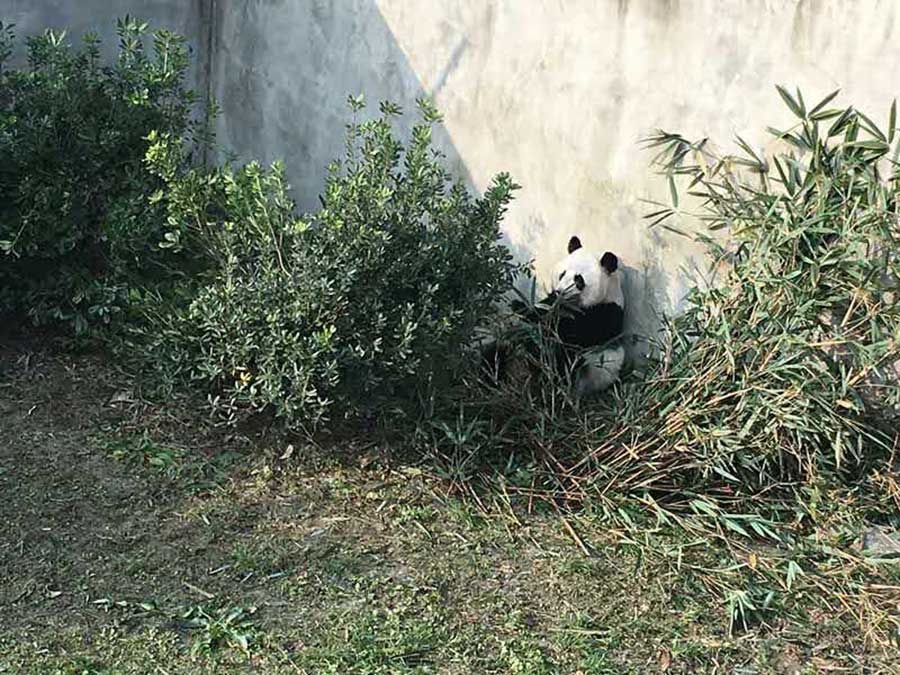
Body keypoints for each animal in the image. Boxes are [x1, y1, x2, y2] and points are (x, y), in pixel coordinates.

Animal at [482, 235, 627, 397]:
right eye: (562, 274)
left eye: (578, 280)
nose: (560, 292)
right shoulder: (553, 302)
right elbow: (543, 311)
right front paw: (520, 306)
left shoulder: (604, 313)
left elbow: (565, 331)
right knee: (497, 352)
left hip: (590, 369)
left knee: (562, 363)